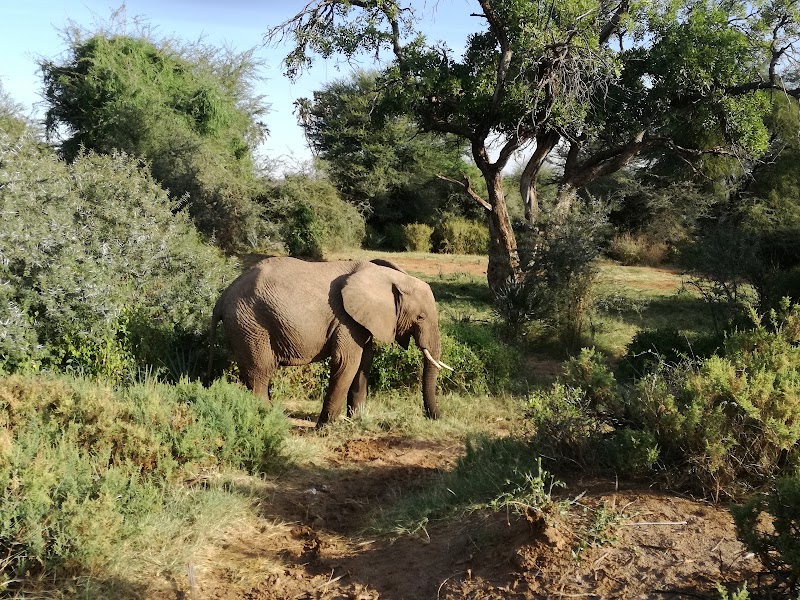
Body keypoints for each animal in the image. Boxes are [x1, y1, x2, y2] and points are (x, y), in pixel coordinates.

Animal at [206, 258, 450, 426]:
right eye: (420, 317)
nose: (437, 418)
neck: (386, 277)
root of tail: (222, 297)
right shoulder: (345, 319)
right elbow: (347, 362)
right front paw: (327, 427)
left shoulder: (361, 320)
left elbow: (365, 362)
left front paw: (356, 420)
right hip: (250, 325)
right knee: (260, 372)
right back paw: (270, 418)